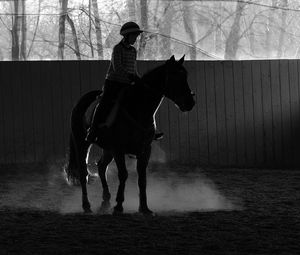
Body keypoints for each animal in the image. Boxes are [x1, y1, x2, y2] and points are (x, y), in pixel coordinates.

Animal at [63, 54, 195, 214]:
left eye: (185, 76)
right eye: (175, 77)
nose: (190, 103)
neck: (137, 107)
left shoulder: (145, 150)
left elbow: (142, 178)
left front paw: (144, 208)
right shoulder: (118, 149)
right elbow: (123, 174)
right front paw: (119, 205)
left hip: (107, 148)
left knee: (101, 166)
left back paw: (106, 201)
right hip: (82, 143)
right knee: (83, 173)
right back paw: (86, 205)